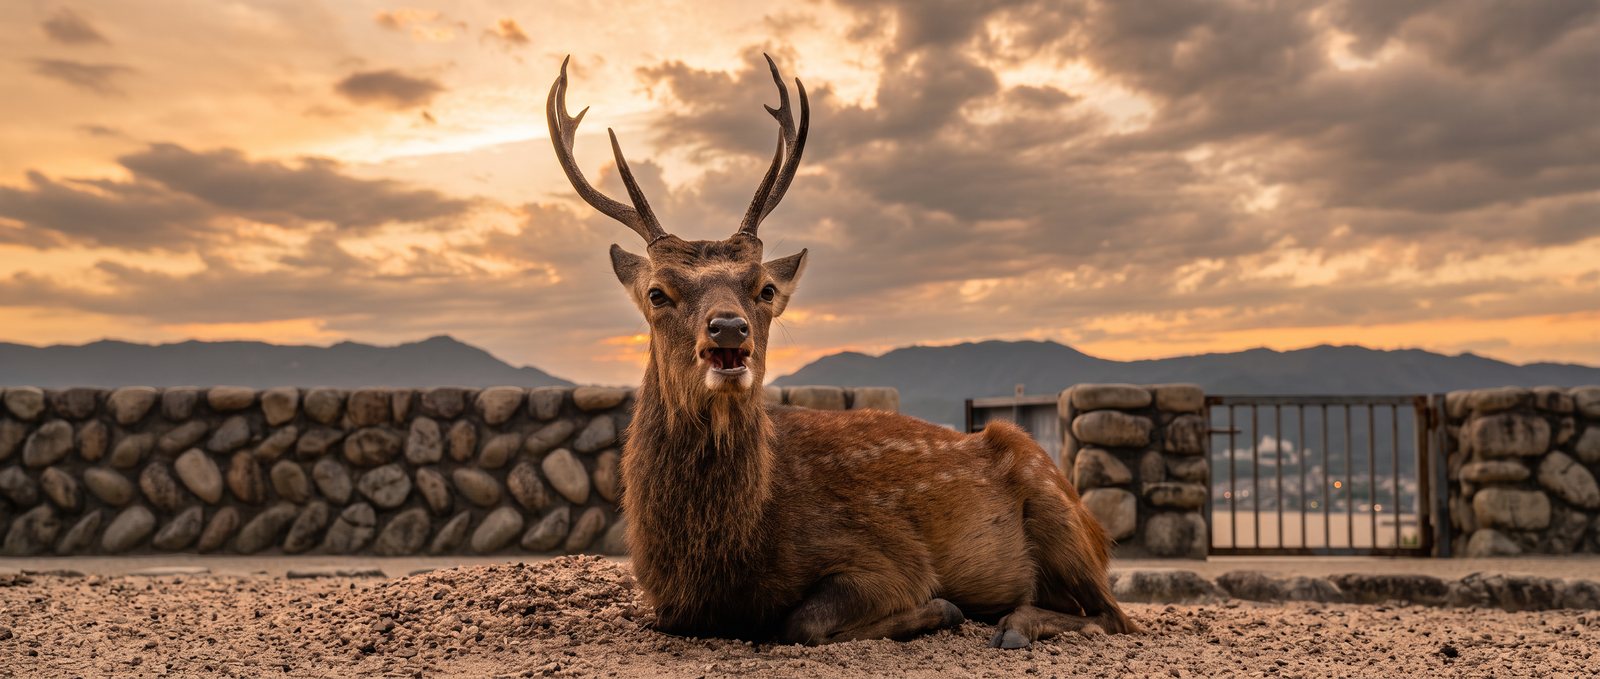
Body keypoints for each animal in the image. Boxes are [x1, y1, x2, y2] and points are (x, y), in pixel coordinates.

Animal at [546, 54, 1137, 649]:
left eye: (764, 288)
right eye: (657, 292)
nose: (729, 329)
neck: (721, 562)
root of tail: (1098, 532)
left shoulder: (889, 558)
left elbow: (802, 620)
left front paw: (942, 608)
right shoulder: (665, 603)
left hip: (1056, 504)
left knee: (1114, 615)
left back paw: (1013, 624)